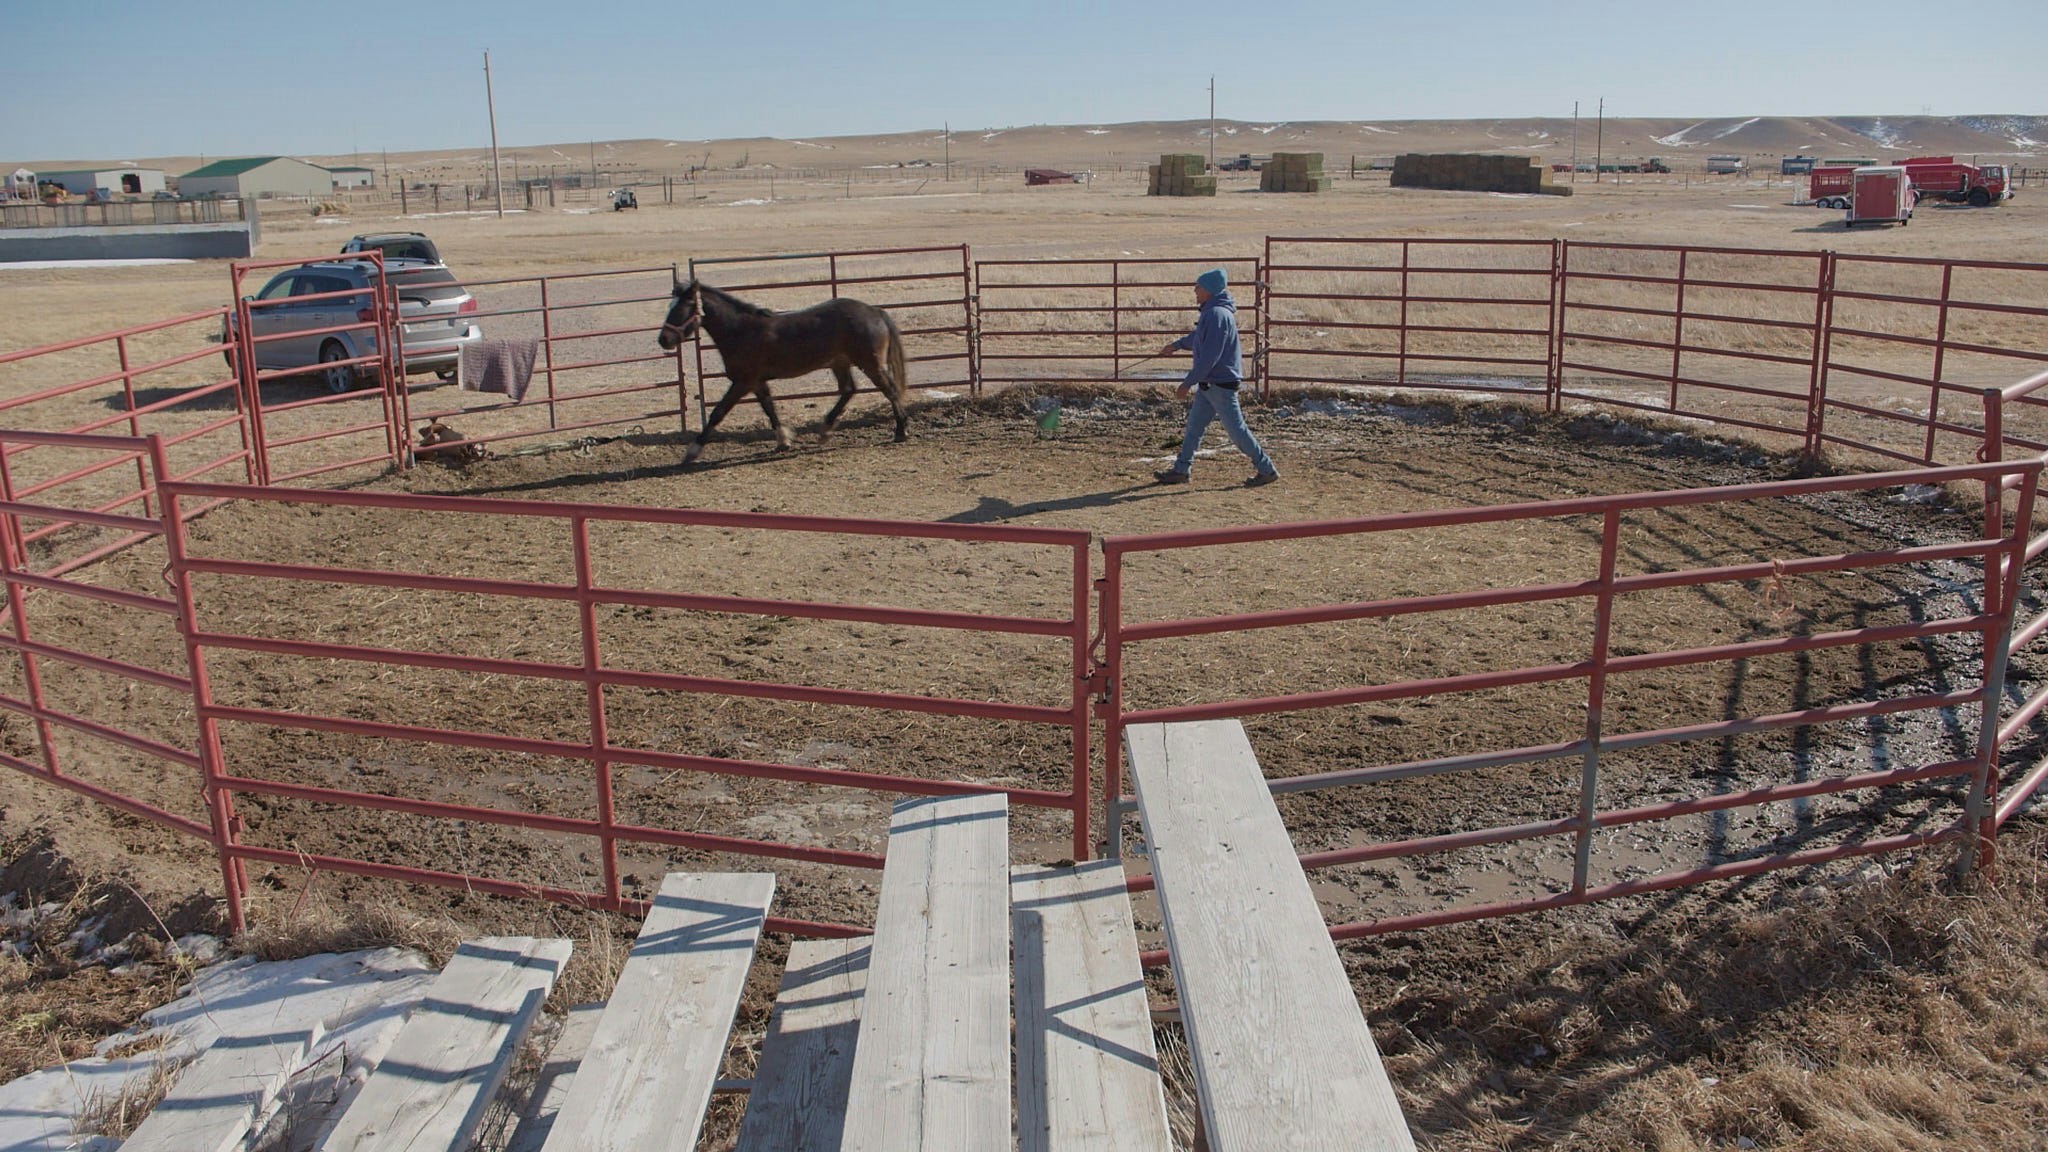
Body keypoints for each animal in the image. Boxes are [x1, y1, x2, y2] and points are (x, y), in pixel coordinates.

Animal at [655, 276, 913, 459]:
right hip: (840, 362)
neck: (741, 331)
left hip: (869, 362)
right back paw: (825, 431)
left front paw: (692, 451)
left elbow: (718, 412)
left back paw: (901, 431)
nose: (663, 340)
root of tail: (875, 311)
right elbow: (769, 408)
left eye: (683, 308)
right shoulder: (757, 382)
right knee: (849, 390)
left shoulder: (743, 382)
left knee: (889, 390)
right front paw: (783, 441)